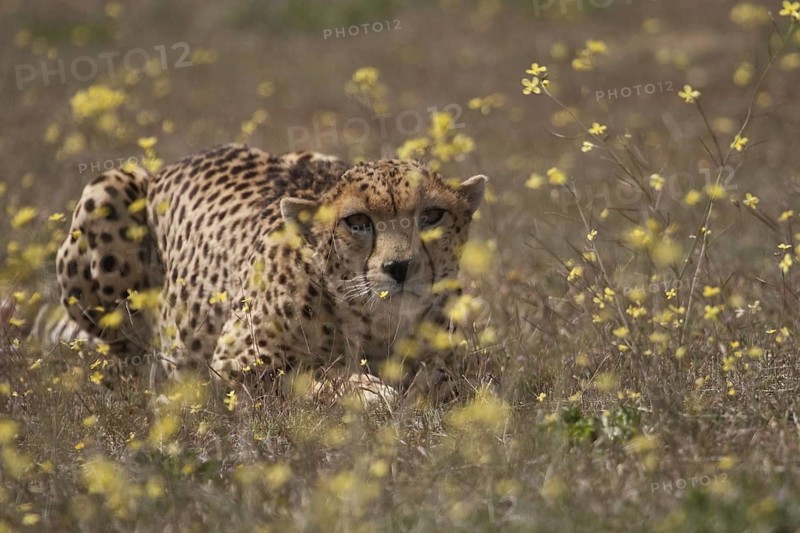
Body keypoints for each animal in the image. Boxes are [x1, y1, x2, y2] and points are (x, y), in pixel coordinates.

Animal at [55, 143, 487, 401]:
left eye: (432, 216)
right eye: (358, 222)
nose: (400, 268)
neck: (375, 322)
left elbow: (449, 376)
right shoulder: (233, 364)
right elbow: (307, 375)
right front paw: (366, 390)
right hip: (107, 191)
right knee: (127, 352)